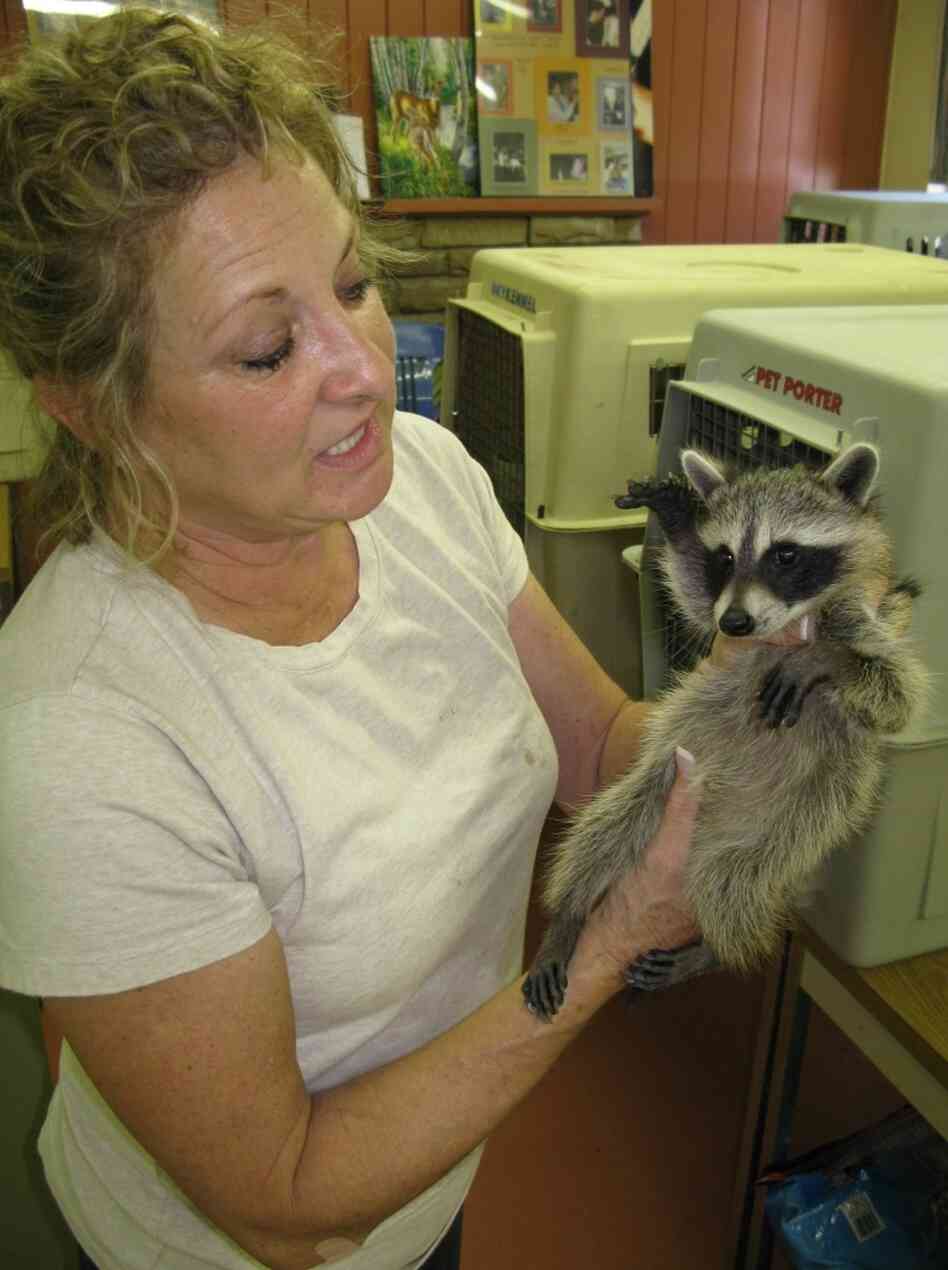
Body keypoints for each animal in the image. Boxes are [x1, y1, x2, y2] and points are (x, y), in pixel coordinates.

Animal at [523, 443, 930, 1023]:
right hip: (652, 791)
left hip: (790, 832)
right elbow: (696, 600)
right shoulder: (720, 621)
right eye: (725, 557)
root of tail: (706, 842)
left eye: (785, 555)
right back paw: (570, 914)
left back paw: (716, 952)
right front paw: (677, 520)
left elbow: (897, 696)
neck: (792, 622)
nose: (736, 621)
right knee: (602, 832)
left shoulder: (862, 619)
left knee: (741, 883)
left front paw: (825, 660)